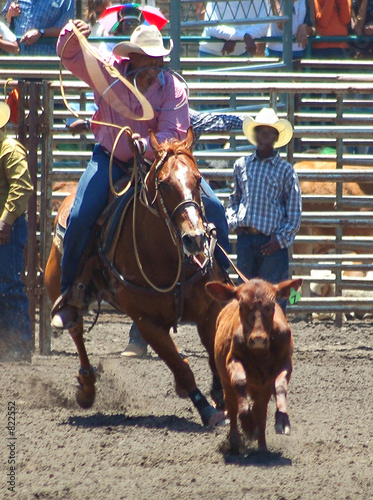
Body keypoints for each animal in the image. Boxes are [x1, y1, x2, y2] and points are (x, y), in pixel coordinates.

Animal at [43, 129, 224, 426]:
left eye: (198, 179)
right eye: (163, 184)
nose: (195, 239)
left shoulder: (209, 309)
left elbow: (214, 354)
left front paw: (222, 398)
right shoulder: (146, 321)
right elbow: (181, 367)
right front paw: (206, 409)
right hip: (58, 283)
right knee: (75, 328)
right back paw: (87, 387)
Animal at [206, 280, 302, 456]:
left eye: (271, 306)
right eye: (242, 306)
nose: (258, 339)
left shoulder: (285, 362)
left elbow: (280, 386)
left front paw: (282, 420)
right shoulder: (233, 360)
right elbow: (239, 382)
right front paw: (248, 425)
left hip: (262, 389)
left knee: (260, 410)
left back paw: (262, 447)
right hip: (226, 383)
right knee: (232, 404)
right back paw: (235, 441)